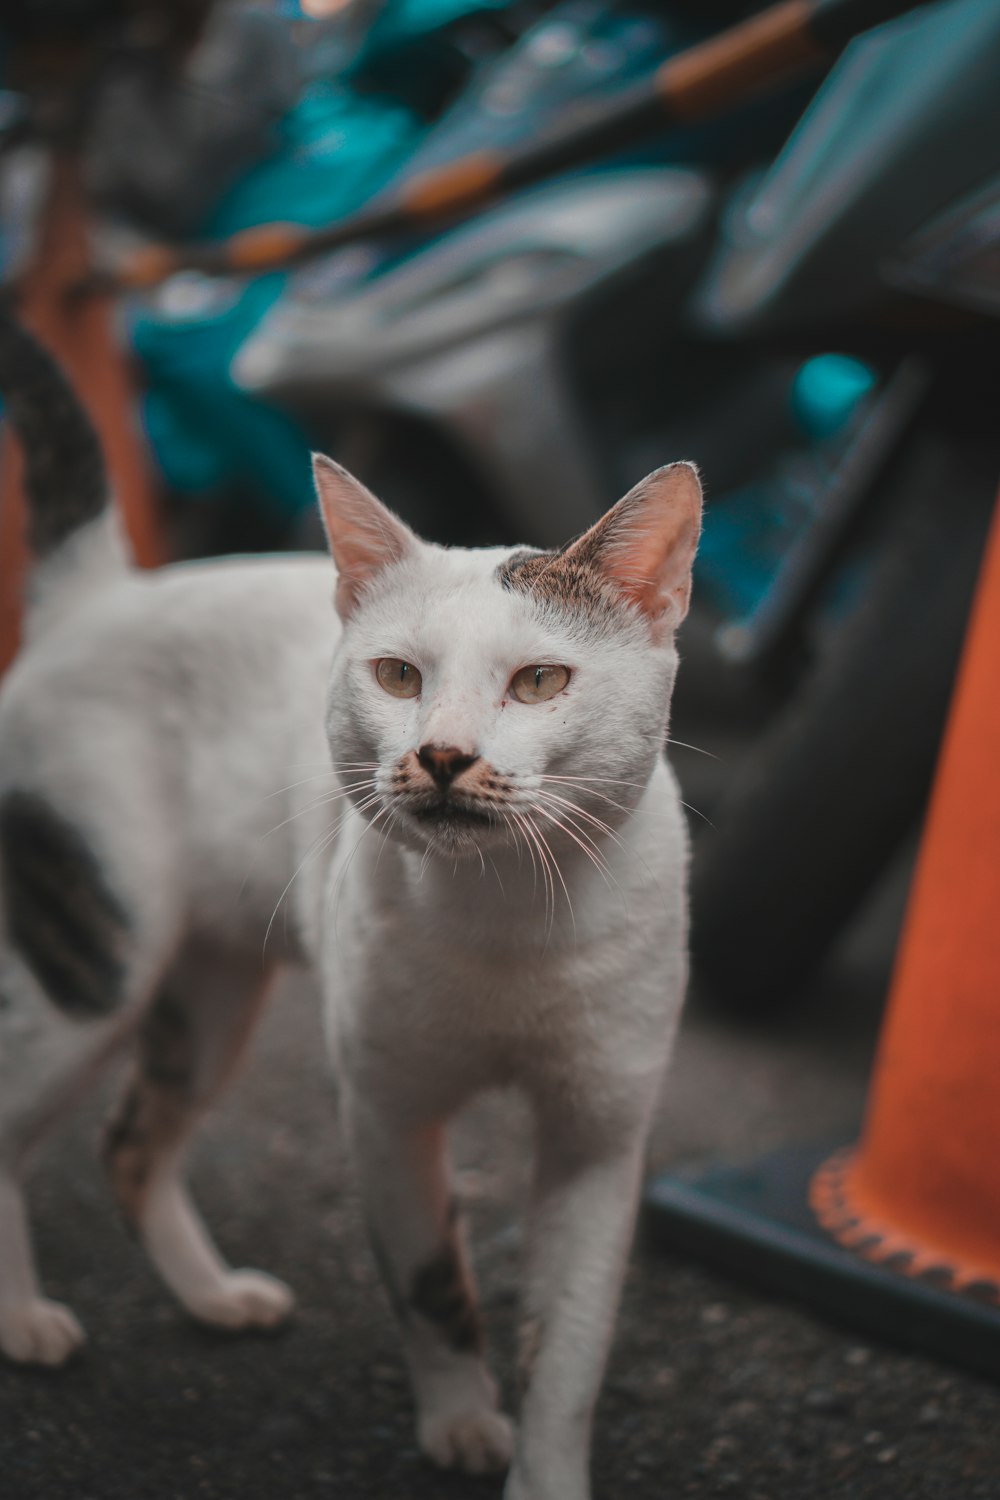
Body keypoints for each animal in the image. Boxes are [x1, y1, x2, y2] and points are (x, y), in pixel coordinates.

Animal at [0, 310, 701, 1494]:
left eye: (539, 682)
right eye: (397, 677)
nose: (445, 755)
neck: (508, 915)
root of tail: (106, 594)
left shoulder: (599, 1138)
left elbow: (569, 1351)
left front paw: (544, 1469)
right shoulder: (387, 1114)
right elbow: (432, 1287)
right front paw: (460, 1420)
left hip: (208, 989)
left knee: (131, 1143)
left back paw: (211, 1296)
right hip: (91, 956)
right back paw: (21, 1317)